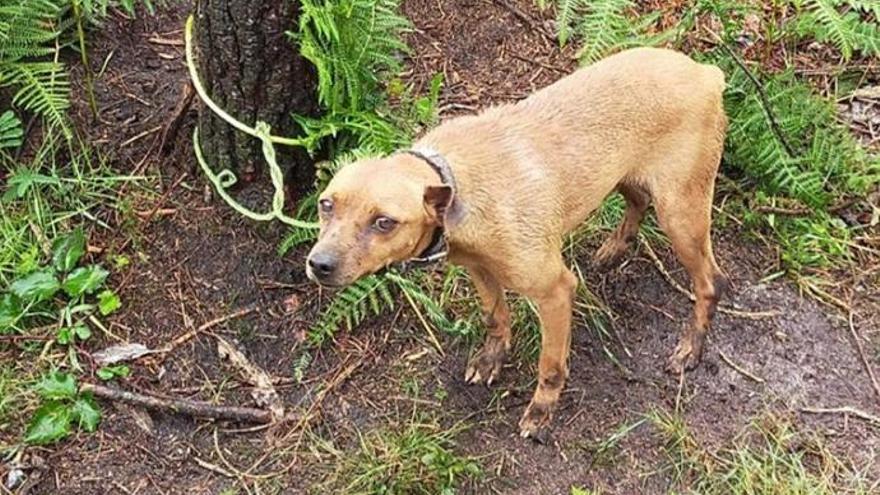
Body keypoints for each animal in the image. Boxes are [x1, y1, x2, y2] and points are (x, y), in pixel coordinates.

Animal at [308, 47, 728, 438]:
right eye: (326, 205)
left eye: (384, 222)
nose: (319, 265)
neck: (457, 185)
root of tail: (706, 73)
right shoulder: (479, 269)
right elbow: (496, 318)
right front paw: (491, 359)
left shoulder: (555, 291)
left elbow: (551, 365)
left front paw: (542, 410)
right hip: (622, 174)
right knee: (637, 201)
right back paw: (614, 249)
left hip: (680, 216)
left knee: (711, 282)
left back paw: (691, 348)